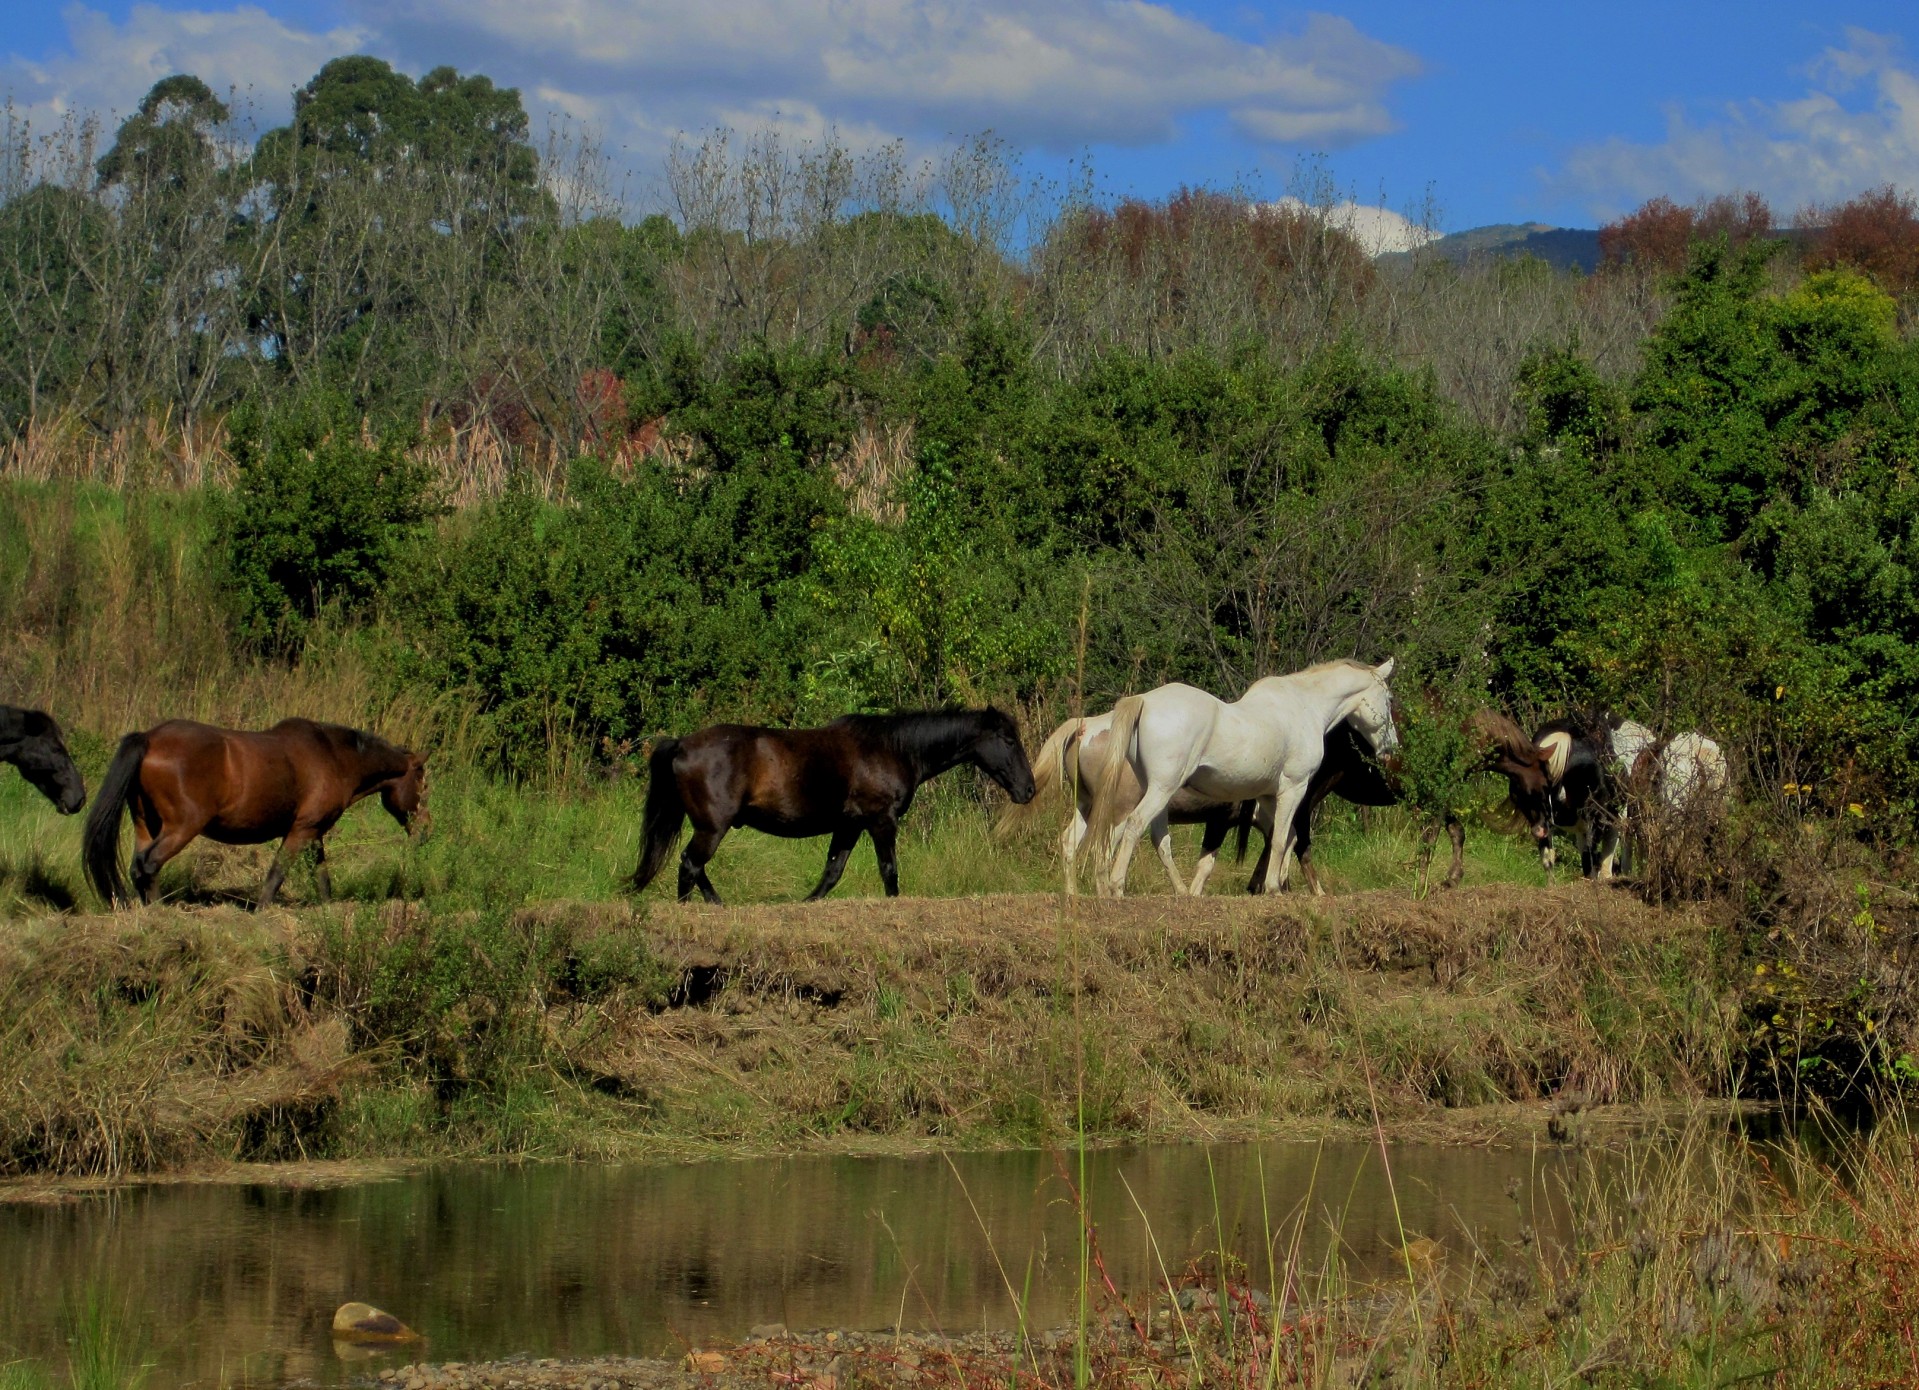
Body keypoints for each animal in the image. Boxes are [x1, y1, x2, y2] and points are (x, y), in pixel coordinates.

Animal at [85, 718, 427, 913]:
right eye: (423, 780)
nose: (425, 830)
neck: (334, 757)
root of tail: (149, 738)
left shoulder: (314, 832)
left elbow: (322, 877)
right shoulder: (301, 830)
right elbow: (277, 872)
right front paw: (262, 912)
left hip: (146, 824)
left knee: (137, 867)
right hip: (181, 827)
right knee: (149, 864)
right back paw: (159, 912)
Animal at [633, 706, 1036, 902]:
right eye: (1008, 739)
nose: (1029, 790)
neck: (892, 748)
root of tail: (682, 744)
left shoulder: (849, 826)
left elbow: (831, 873)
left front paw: (806, 903)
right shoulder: (880, 820)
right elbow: (889, 870)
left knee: (692, 866)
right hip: (712, 827)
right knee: (690, 864)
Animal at [1089, 656, 1404, 894]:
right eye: (1389, 699)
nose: (1391, 747)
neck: (1305, 707)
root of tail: (1143, 700)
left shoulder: (1267, 797)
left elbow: (1285, 837)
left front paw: (1272, 884)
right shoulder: (1293, 789)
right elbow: (1281, 838)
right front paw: (1274, 888)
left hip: (1149, 791)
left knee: (1125, 834)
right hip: (1161, 789)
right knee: (1134, 826)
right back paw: (1117, 887)